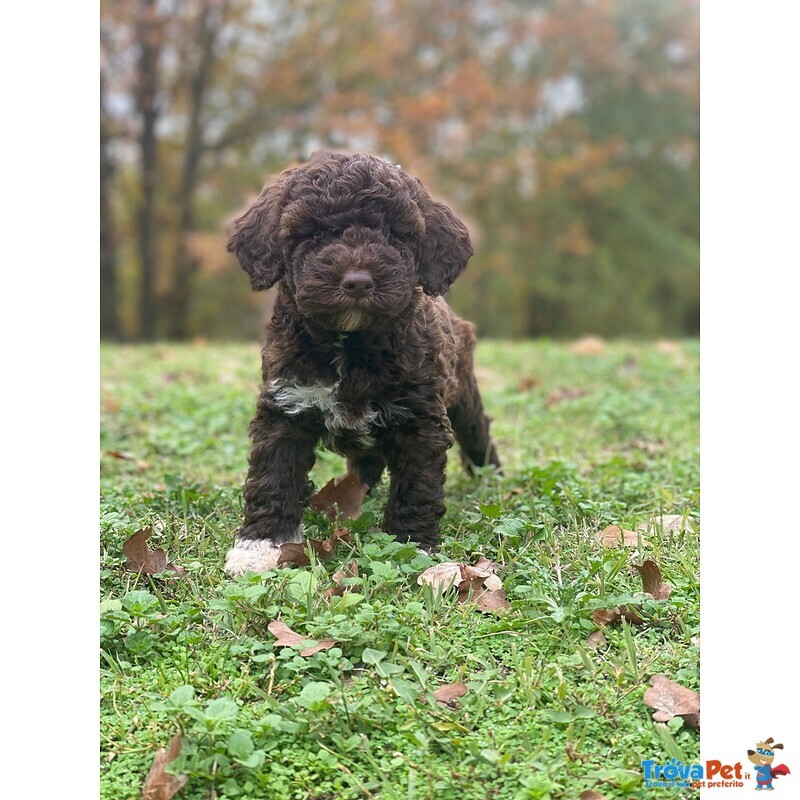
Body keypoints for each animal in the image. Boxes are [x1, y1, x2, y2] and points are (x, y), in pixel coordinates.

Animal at [225, 152, 500, 576]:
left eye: (394, 235)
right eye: (315, 233)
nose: (357, 281)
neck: (350, 344)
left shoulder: (420, 419)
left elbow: (417, 484)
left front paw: (411, 544)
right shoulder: (286, 405)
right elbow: (274, 476)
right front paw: (260, 544)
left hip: (464, 392)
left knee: (477, 430)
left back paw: (493, 476)